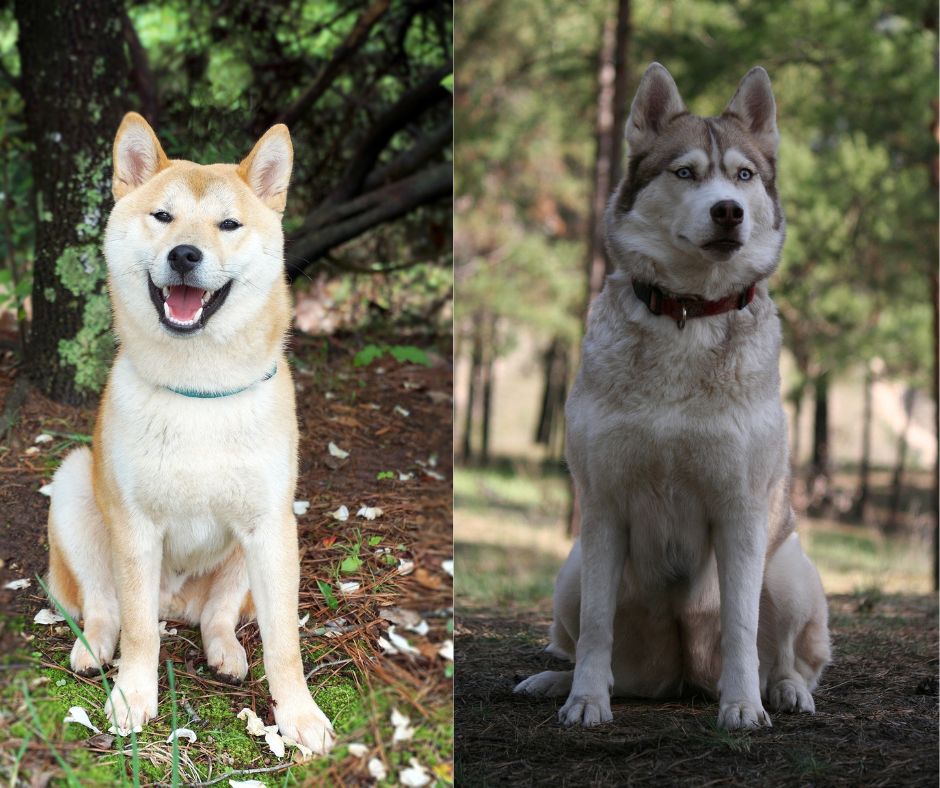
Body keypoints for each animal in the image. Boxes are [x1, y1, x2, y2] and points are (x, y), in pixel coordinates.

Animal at [47, 114, 336, 756]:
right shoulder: (135, 527)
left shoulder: (270, 525)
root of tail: (174, 602)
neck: (199, 392)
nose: (185, 253)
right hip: (75, 488)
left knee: (217, 617)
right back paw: (92, 647)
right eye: (163, 216)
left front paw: (298, 715)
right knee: (105, 607)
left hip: (262, 544)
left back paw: (225, 653)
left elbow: (284, 643)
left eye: (229, 224)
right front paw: (133, 695)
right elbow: (138, 635)